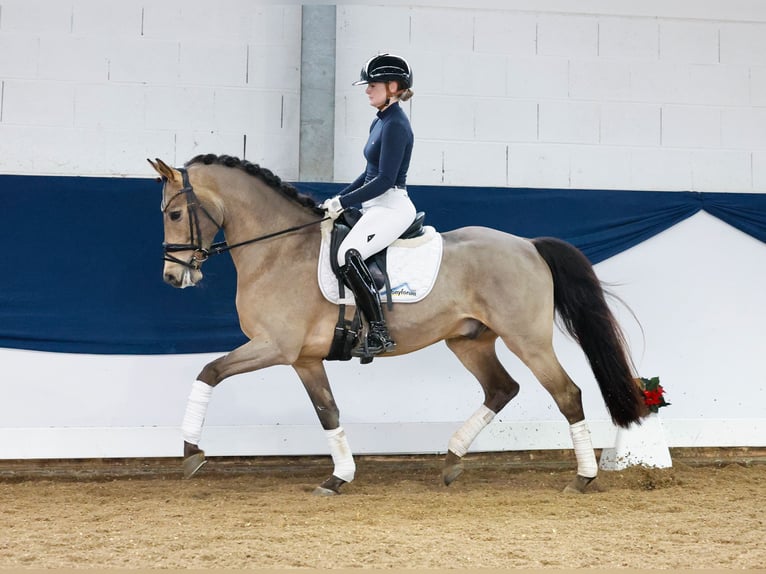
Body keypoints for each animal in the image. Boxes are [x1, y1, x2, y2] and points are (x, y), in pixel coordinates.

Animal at [147, 155, 644, 498]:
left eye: (174, 214)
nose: (172, 277)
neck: (278, 250)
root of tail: (528, 245)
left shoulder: (275, 346)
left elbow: (209, 372)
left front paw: (191, 453)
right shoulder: (304, 358)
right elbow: (328, 412)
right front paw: (339, 477)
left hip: (527, 339)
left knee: (567, 393)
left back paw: (582, 478)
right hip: (469, 340)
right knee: (501, 389)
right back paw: (451, 459)